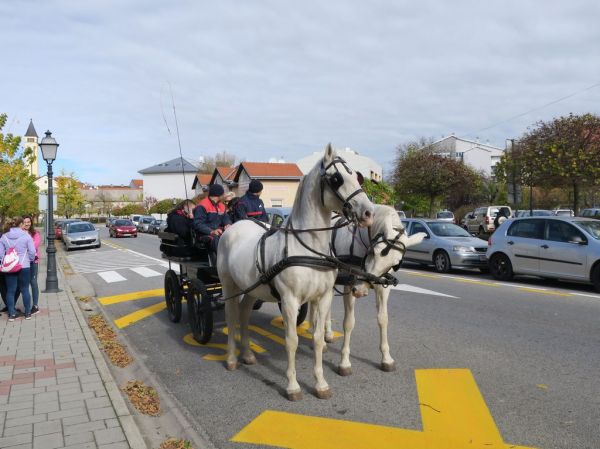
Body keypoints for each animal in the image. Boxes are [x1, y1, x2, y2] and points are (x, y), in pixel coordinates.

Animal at [216, 144, 376, 400]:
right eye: (337, 178)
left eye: (356, 176)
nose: (369, 213)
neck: (308, 247)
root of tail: (234, 226)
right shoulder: (290, 300)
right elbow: (291, 340)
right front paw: (292, 386)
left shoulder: (323, 297)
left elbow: (318, 339)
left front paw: (320, 383)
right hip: (229, 285)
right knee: (231, 317)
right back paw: (232, 358)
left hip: (252, 289)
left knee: (244, 314)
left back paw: (248, 354)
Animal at [324, 206, 426, 374]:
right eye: (373, 251)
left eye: (395, 264)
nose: (360, 290)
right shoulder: (349, 284)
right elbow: (349, 322)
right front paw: (344, 362)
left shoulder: (383, 287)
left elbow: (383, 319)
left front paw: (386, 358)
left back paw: (327, 334)